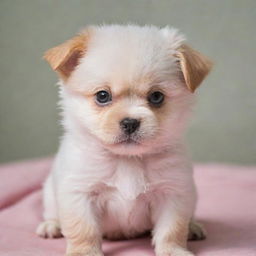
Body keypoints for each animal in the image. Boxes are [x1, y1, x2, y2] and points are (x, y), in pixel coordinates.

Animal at [36, 24, 212, 256]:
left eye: (156, 97)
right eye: (102, 96)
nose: (130, 122)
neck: (128, 160)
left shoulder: (173, 194)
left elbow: (171, 229)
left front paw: (173, 250)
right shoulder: (79, 193)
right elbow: (83, 229)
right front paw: (84, 252)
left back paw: (193, 227)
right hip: (49, 193)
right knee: (52, 214)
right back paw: (51, 226)